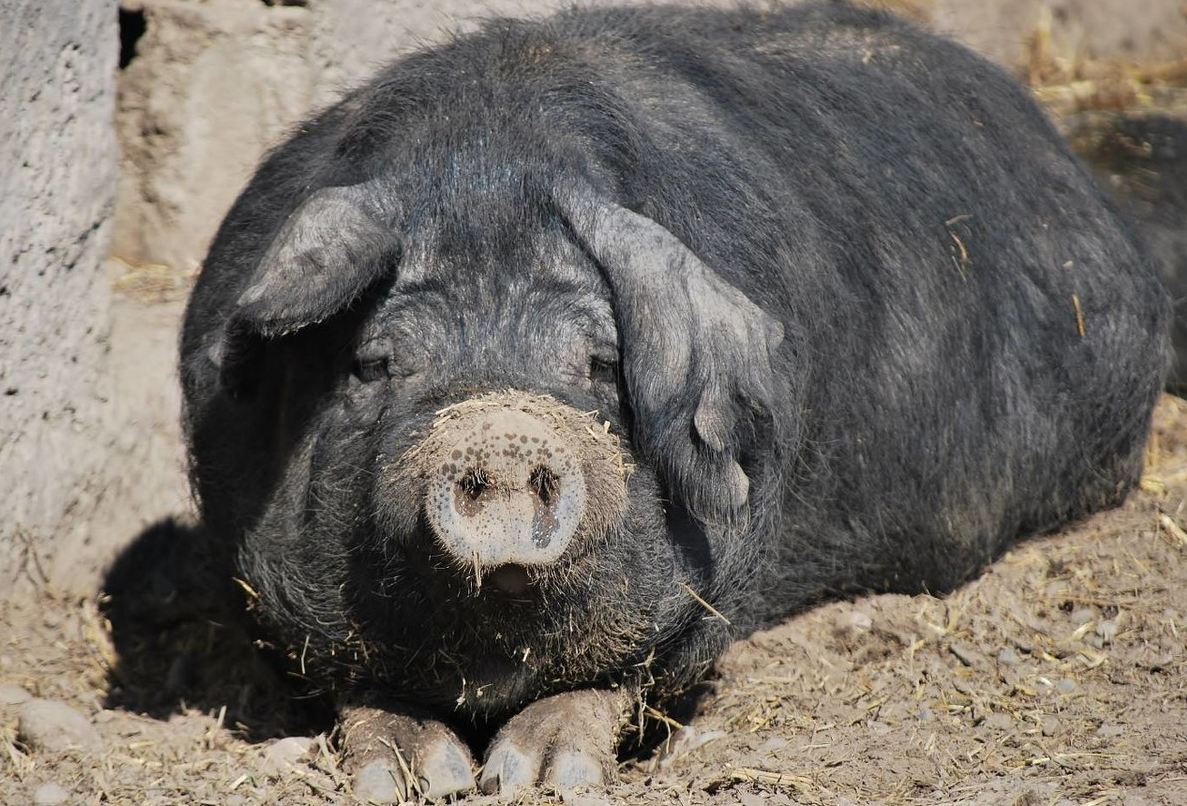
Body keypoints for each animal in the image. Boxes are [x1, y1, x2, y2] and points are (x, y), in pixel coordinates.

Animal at [180, 1, 1172, 802]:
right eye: (373, 364)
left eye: (599, 362)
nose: (501, 434)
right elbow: (353, 684)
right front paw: (420, 780)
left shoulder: (719, 577)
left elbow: (625, 677)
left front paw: (539, 779)